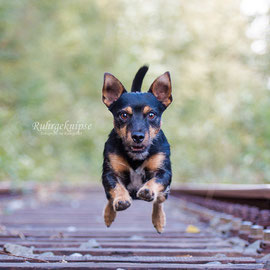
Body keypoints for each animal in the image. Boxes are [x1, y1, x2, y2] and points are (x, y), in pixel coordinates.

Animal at [101, 66, 173, 233]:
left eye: (152, 115)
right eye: (123, 115)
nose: (138, 136)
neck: (136, 155)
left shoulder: (164, 172)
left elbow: (155, 181)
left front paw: (147, 190)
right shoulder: (109, 173)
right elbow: (116, 187)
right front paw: (121, 199)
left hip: (166, 191)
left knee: (159, 201)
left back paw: (159, 220)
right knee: (109, 198)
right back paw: (109, 215)